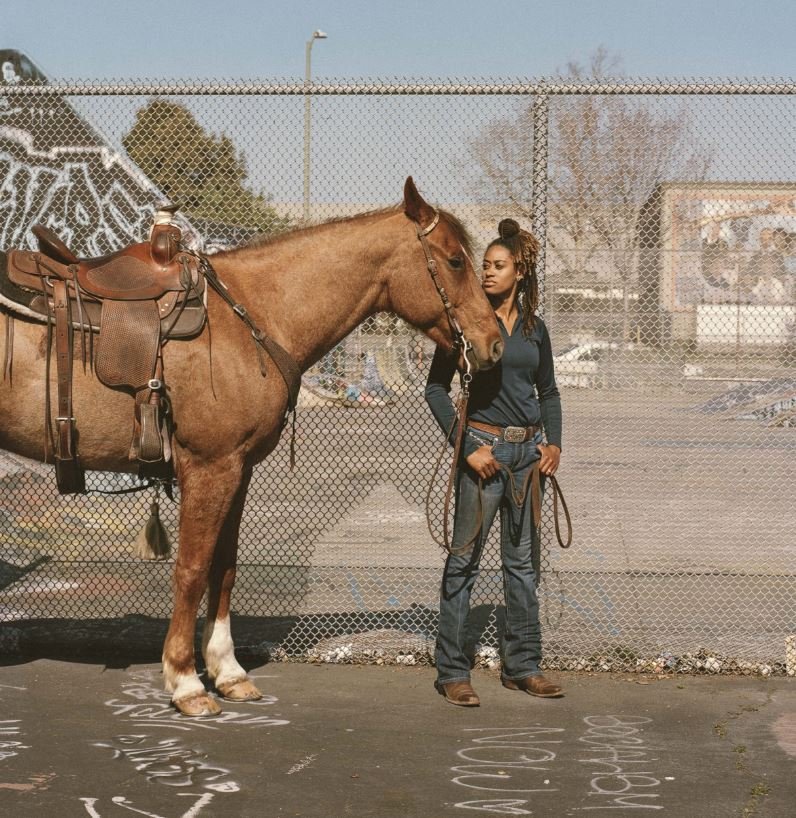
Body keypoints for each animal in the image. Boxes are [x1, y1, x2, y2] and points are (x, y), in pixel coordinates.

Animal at [0, 175, 504, 712]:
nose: (493, 343)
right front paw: (185, 681)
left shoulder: (236, 470)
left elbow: (224, 568)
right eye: (455, 260)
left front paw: (227, 670)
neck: (250, 317)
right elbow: (192, 568)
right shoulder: (209, 467)